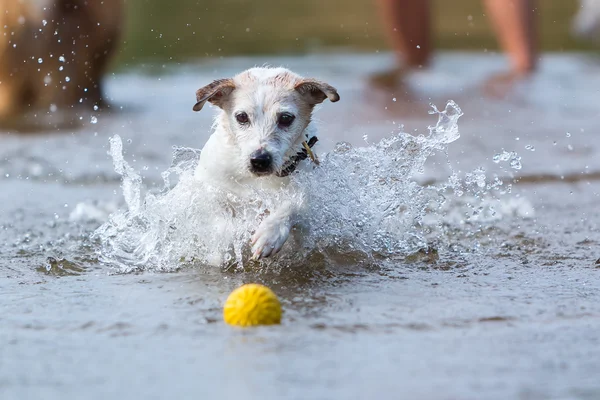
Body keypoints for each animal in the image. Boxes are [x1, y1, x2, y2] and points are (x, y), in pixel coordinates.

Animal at [193, 67, 340, 260]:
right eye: (242, 117)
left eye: (286, 118)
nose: (259, 160)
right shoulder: (208, 185)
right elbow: (218, 213)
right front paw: (226, 241)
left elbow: (295, 203)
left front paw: (270, 234)